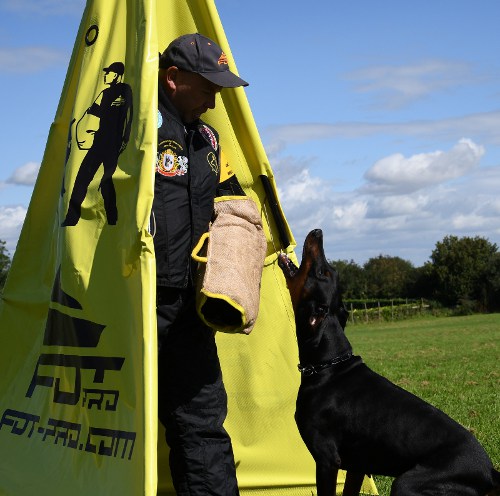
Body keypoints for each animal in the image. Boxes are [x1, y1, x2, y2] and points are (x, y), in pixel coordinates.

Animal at [278, 231, 500, 496]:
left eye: (323, 272)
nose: (318, 233)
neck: (329, 366)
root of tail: (490, 473)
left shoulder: (326, 460)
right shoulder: (358, 466)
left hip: (406, 483)